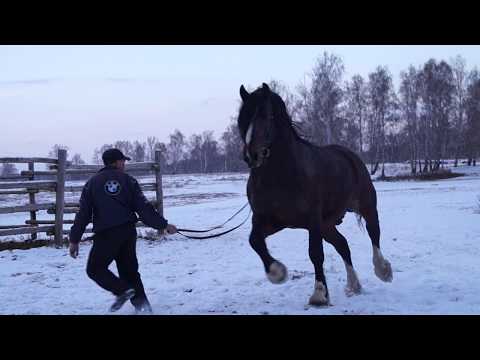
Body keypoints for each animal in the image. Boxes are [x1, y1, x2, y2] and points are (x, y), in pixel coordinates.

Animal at [238, 83, 392, 306]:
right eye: (242, 117)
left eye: (266, 115)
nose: (252, 155)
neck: (279, 175)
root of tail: (349, 155)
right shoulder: (270, 220)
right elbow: (255, 241)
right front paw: (277, 273)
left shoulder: (312, 220)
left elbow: (315, 253)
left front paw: (319, 294)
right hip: (327, 225)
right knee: (343, 245)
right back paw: (354, 285)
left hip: (365, 206)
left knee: (374, 233)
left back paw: (383, 270)